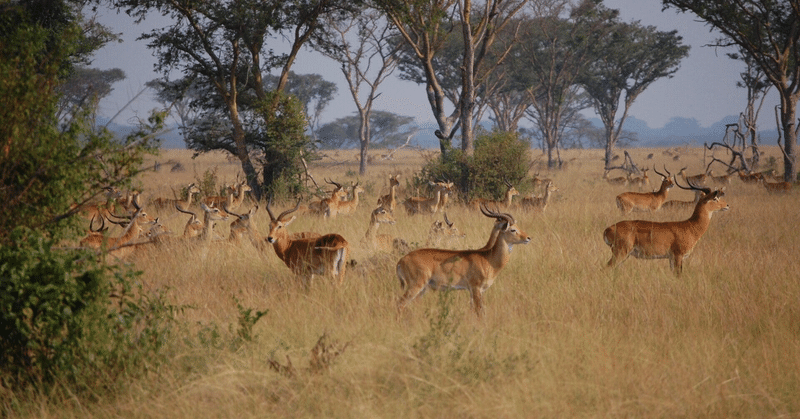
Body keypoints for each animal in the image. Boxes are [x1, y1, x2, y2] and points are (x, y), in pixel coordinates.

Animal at [396, 206, 532, 318]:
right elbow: (479, 312)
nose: (528, 238)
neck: (488, 258)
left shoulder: (474, 291)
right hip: (416, 286)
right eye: (512, 229)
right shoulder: (476, 289)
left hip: (423, 289)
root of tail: (401, 260)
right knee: (400, 303)